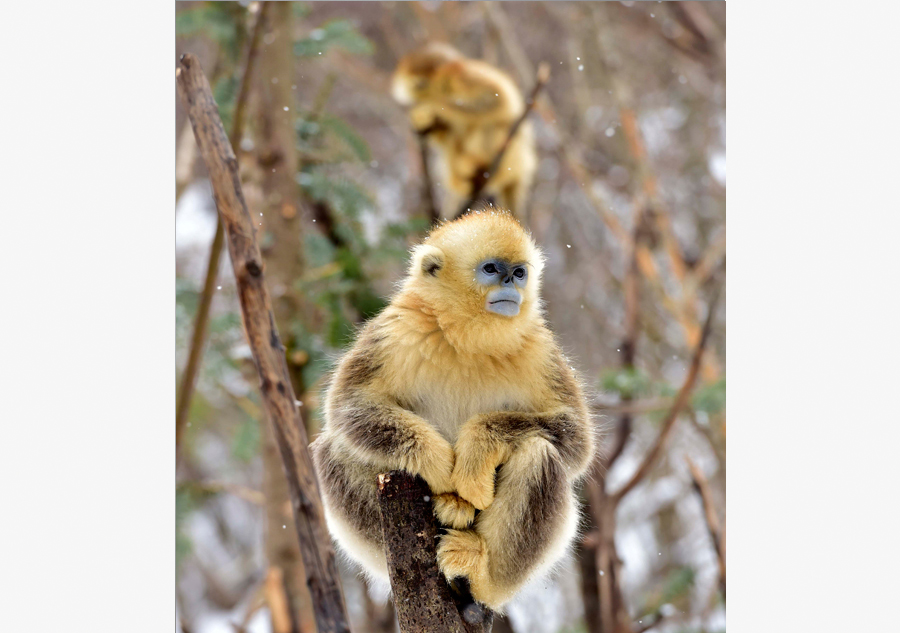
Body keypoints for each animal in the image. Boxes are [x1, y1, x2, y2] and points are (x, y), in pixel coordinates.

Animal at [312, 210, 596, 608]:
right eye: (491, 269)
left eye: (519, 272)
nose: (511, 285)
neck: (467, 338)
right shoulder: (393, 332)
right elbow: (347, 407)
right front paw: (440, 467)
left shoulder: (540, 350)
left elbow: (576, 439)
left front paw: (475, 455)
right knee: (334, 448)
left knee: (538, 453)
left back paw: (481, 576)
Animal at [392, 42, 536, 220]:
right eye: (416, 87)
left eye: (422, 84)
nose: (418, 97)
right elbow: (442, 132)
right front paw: (422, 122)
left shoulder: (467, 76)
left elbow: (494, 98)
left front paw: (433, 105)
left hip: (512, 156)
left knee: (490, 125)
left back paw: (482, 168)